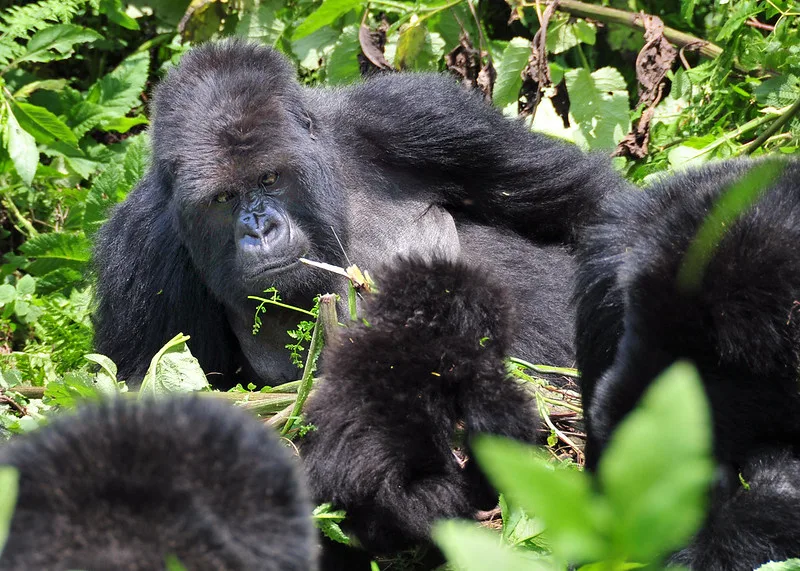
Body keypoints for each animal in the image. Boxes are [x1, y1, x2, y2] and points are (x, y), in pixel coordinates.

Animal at [92, 40, 624, 388]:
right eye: (223, 199)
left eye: (270, 178)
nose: (261, 229)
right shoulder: (141, 247)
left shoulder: (416, 114)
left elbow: (585, 201)